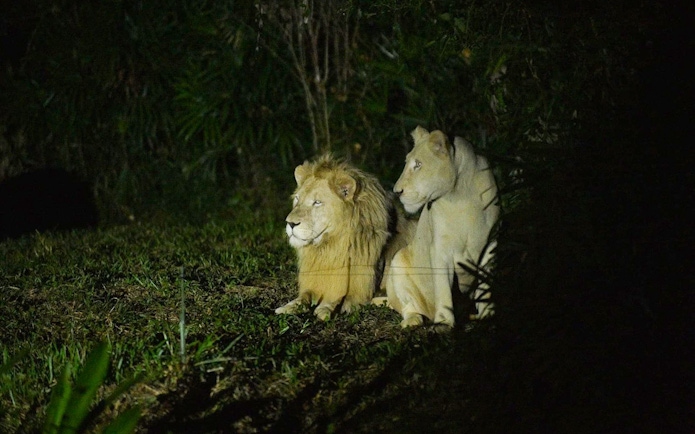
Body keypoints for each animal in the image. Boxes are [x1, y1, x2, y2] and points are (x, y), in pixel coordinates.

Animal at [276, 154, 396, 320]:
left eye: (317, 202)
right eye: (297, 199)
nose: (290, 223)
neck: (329, 247)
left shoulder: (359, 290)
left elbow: (336, 298)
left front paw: (325, 309)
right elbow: (303, 297)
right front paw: (287, 307)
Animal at [383, 126, 499, 329]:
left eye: (418, 165)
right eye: (407, 163)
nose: (397, 192)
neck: (461, 195)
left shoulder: (490, 244)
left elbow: (485, 285)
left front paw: (487, 315)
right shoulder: (439, 249)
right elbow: (443, 287)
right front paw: (444, 323)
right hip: (398, 262)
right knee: (408, 307)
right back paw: (413, 320)